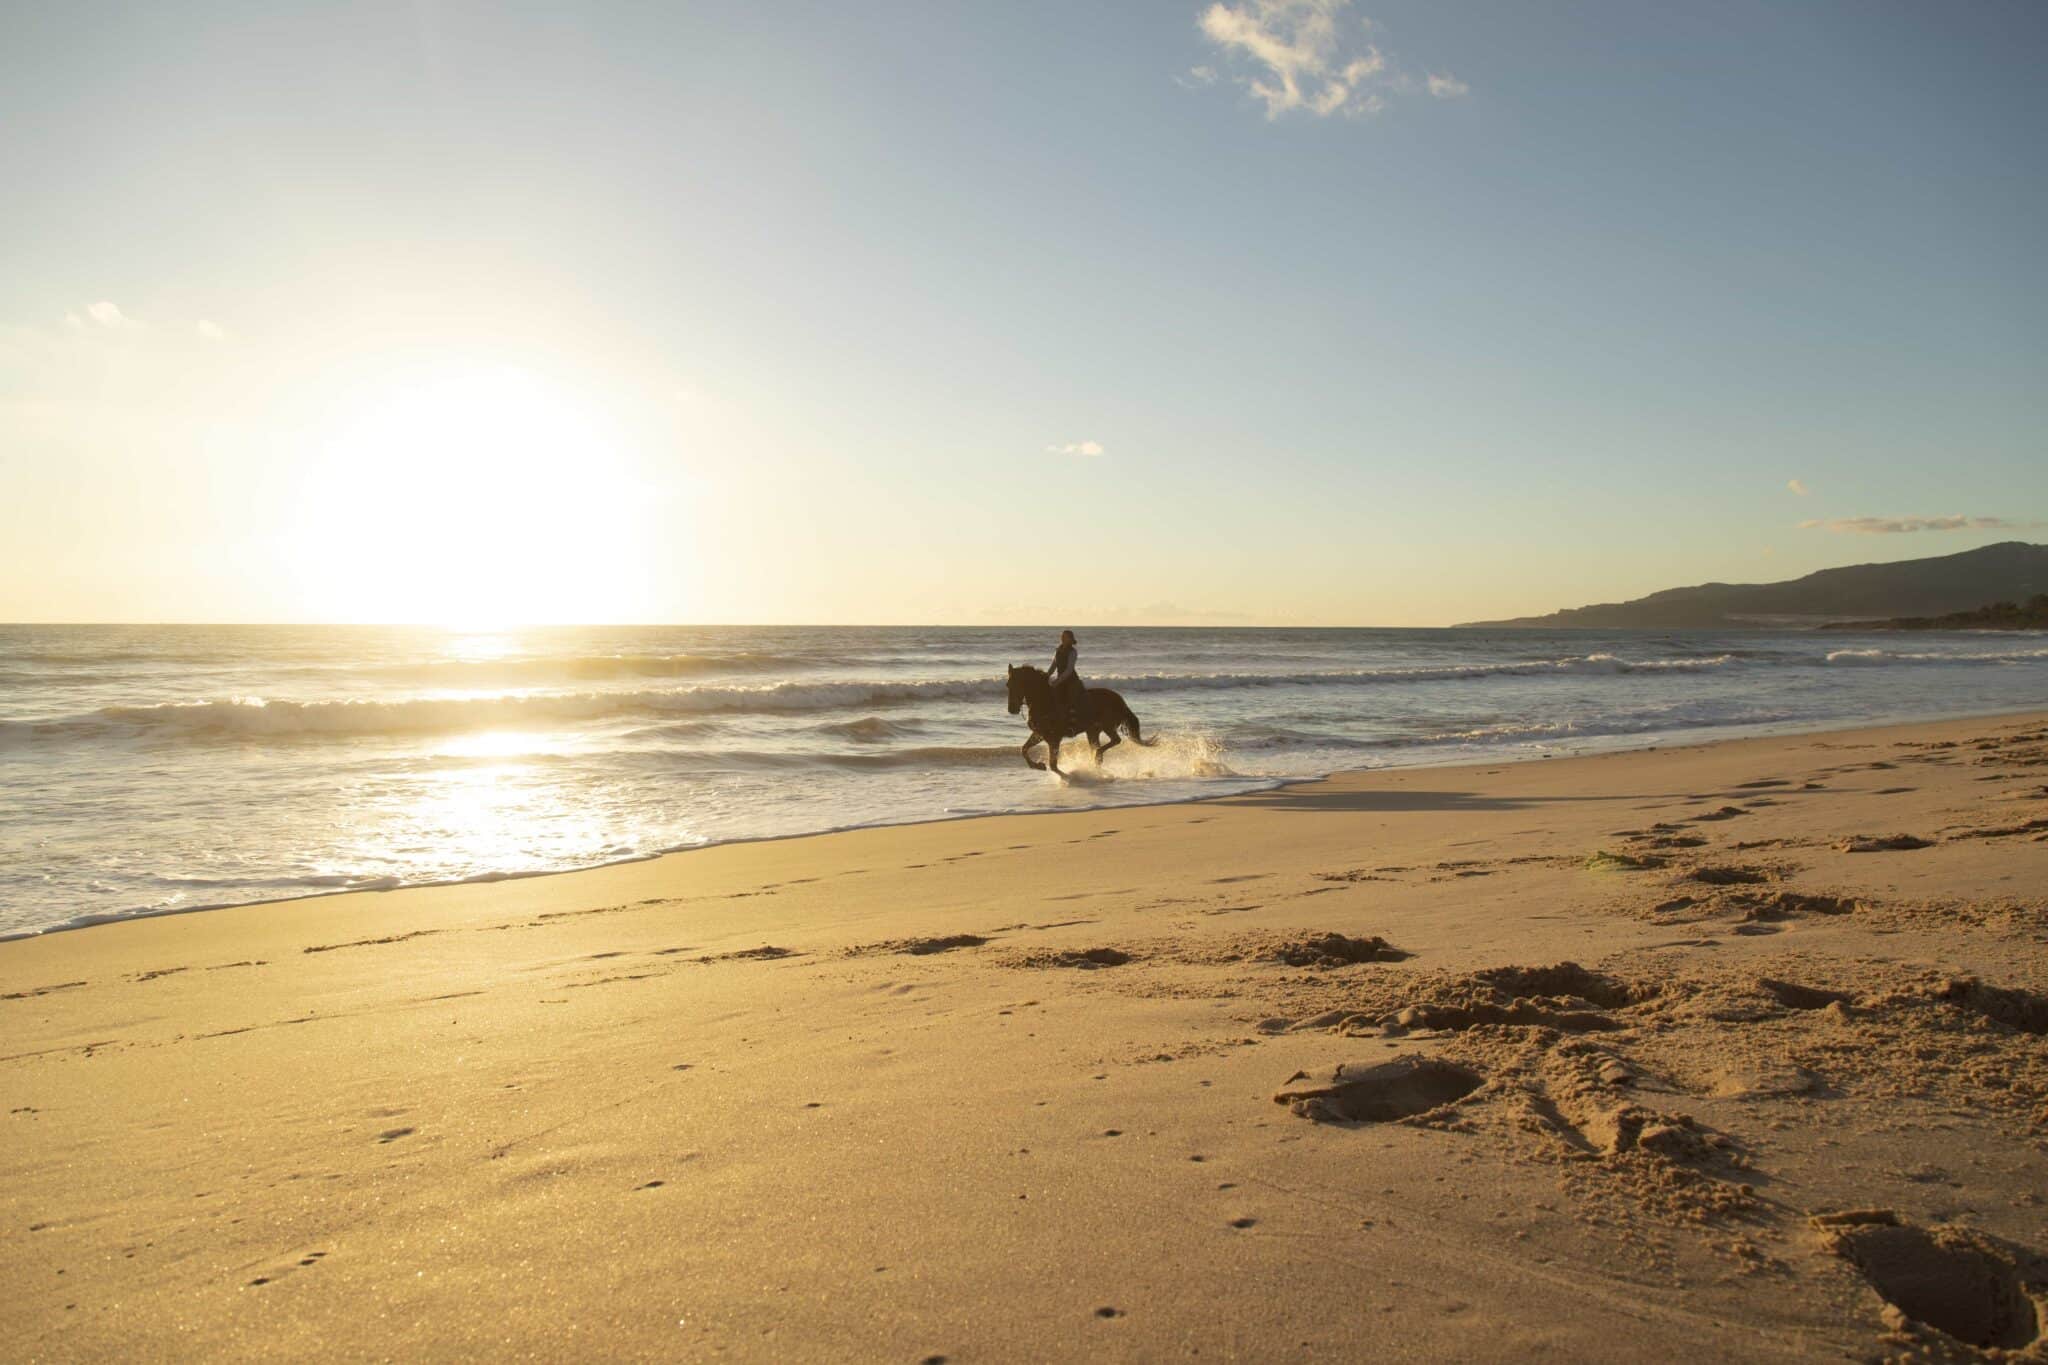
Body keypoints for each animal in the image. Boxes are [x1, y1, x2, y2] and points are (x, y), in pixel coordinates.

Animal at [1005, 664, 1153, 774]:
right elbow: (1024, 749)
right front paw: (1038, 766)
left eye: (1018, 684)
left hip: (1107, 726)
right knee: (1099, 747)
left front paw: (1066, 776)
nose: (1012, 708)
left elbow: (1053, 765)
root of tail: (1121, 701)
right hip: (1092, 731)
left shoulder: (1054, 738)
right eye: (1008, 685)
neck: (1044, 701)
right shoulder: (1039, 734)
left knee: (1115, 740)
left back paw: (1097, 757)